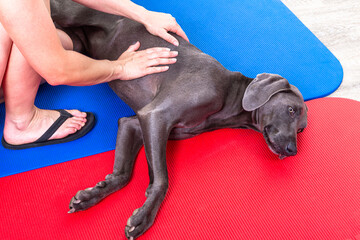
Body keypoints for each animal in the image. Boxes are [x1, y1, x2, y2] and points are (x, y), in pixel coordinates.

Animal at [50, 0, 308, 239]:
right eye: (291, 110)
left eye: (301, 130)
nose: (292, 150)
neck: (229, 96)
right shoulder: (155, 116)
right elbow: (162, 179)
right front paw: (144, 216)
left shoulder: (134, 124)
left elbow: (123, 174)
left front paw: (92, 194)